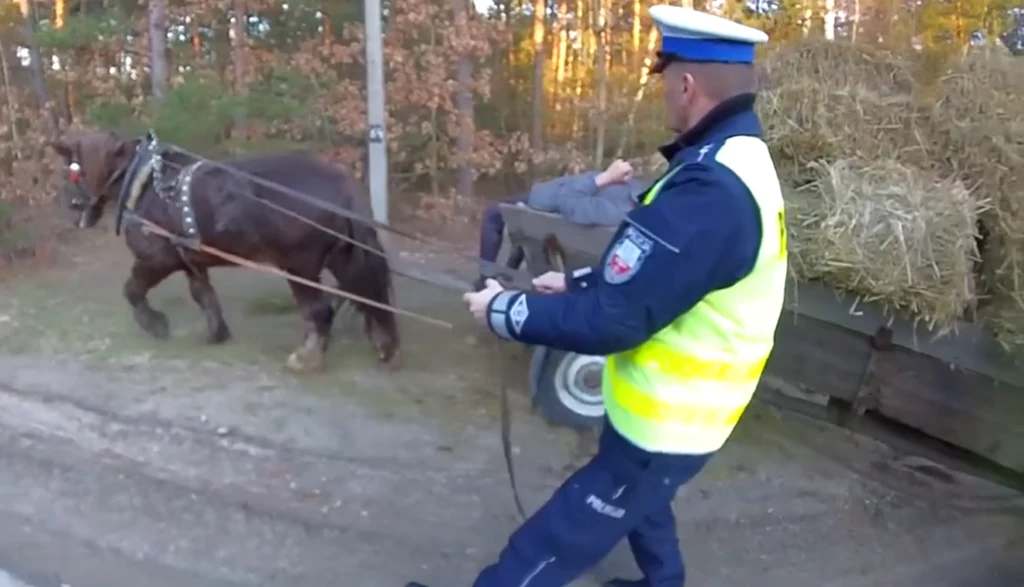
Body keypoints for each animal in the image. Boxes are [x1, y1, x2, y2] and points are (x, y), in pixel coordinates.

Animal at [48, 130, 399, 370]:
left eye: (74, 168)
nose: (75, 206)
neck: (144, 183)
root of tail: (340, 183)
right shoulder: (191, 261)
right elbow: (204, 296)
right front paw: (217, 334)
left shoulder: (156, 259)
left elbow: (132, 290)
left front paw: (156, 324)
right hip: (343, 257)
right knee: (368, 297)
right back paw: (383, 344)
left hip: (300, 266)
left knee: (320, 310)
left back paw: (307, 357)